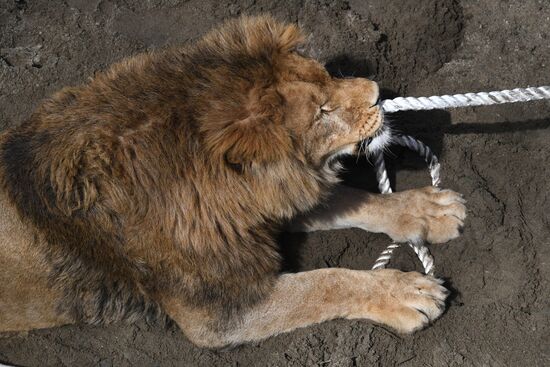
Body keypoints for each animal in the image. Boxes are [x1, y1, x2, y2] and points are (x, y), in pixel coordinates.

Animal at [0, 15, 468, 348]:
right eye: (322, 113)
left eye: (325, 74)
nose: (374, 92)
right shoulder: (222, 312)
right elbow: (322, 283)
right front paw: (405, 293)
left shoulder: (257, 207)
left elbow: (348, 197)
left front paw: (425, 208)